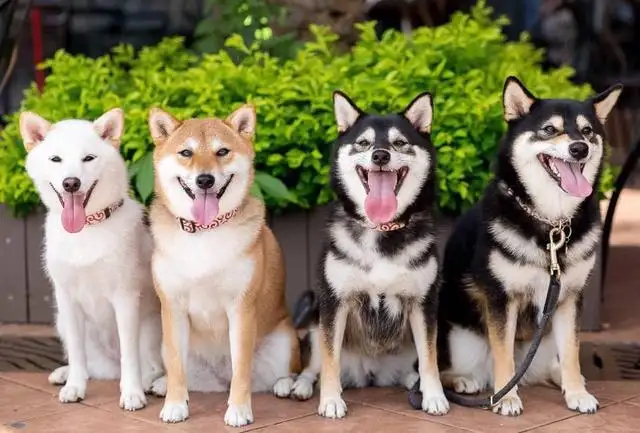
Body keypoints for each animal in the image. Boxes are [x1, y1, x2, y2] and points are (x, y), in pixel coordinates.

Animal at [21, 107, 164, 408]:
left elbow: (130, 355)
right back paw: (67, 374)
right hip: (62, 320)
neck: (87, 227)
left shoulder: (125, 297)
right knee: (93, 365)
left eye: (88, 158)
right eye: (56, 159)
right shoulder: (66, 299)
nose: (71, 183)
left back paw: (153, 383)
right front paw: (75, 386)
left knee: (157, 366)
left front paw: (132, 392)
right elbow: (77, 354)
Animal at [438, 76, 624, 414]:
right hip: (462, 339)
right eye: (549, 129)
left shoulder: (568, 297)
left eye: (587, 131)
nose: (579, 148)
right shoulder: (501, 297)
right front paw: (506, 398)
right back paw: (463, 380)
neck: (552, 223)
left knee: (552, 365)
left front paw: (577, 392)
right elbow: (504, 355)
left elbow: (572, 352)